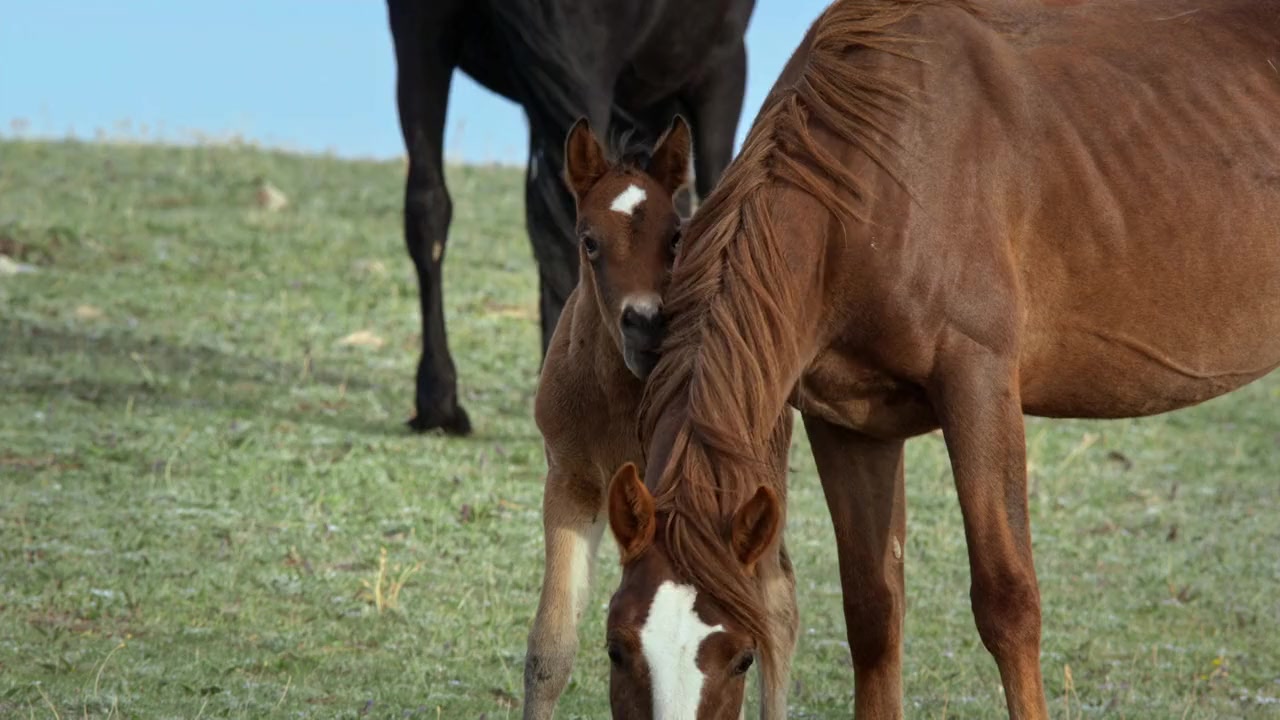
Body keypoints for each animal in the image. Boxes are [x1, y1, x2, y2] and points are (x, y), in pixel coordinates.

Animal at [522, 116, 799, 719]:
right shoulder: (570, 482)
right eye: (589, 241)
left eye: (676, 238)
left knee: (778, 610)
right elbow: (549, 648)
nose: (646, 324)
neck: (615, 398)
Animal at [602, 0, 1280, 717]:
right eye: (616, 648)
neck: (878, 182)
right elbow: (873, 611)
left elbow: (1008, 603)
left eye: (742, 658)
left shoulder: (979, 388)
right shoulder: (848, 426)